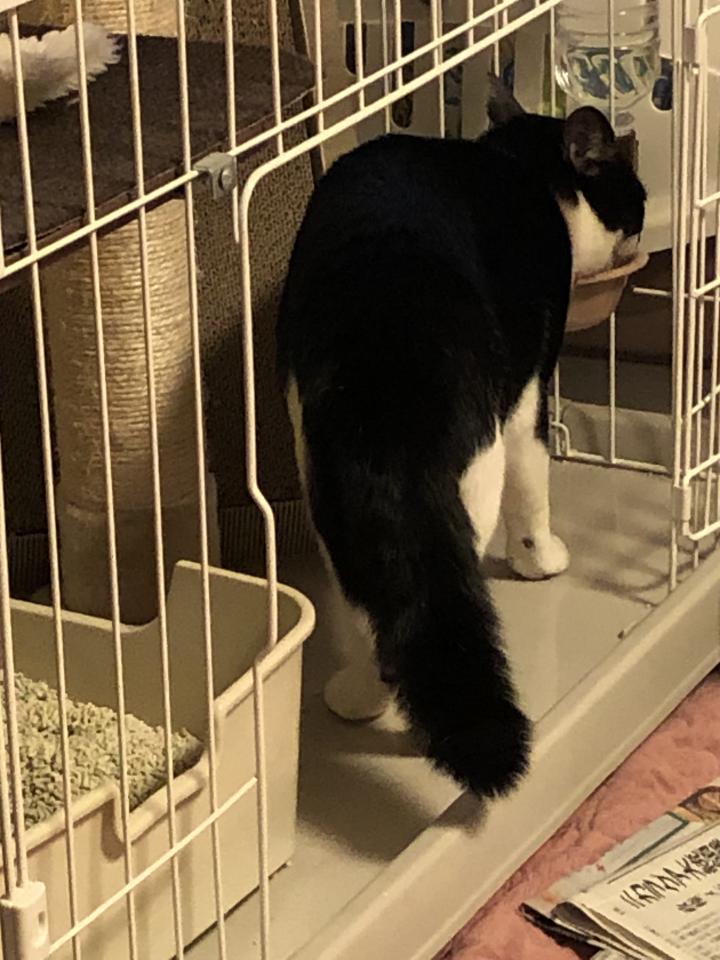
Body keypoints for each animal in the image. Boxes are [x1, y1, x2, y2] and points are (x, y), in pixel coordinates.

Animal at [277, 83, 646, 799]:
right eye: (632, 194)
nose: (643, 217)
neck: (520, 166)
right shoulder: (527, 394)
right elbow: (534, 492)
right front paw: (542, 561)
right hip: (474, 473)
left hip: (325, 486)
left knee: (378, 609)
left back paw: (357, 699)